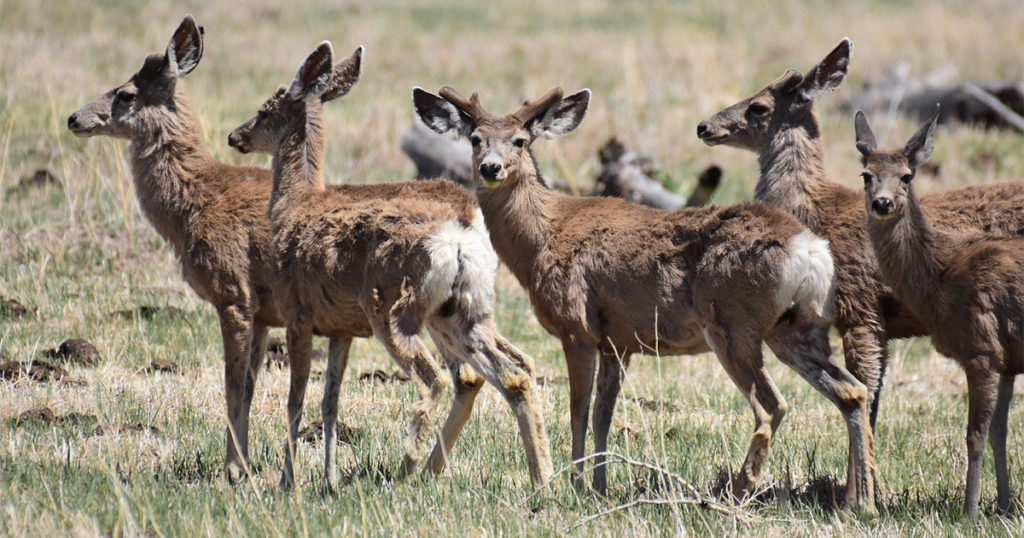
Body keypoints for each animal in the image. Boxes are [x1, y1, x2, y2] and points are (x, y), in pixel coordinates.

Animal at [227, 42, 552, 489]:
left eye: (264, 109)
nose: (235, 135)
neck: (293, 206)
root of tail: (459, 235)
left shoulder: (298, 312)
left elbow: (296, 400)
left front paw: (287, 483)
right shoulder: (340, 328)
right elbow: (330, 400)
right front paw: (328, 480)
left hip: (392, 307)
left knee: (435, 379)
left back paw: (408, 466)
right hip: (463, 309)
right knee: (511, 371)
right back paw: (542, 476)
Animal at [413, 85, 879, 514]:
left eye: (520, 141)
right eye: (475, 138)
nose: (491, 167)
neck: (542, 237)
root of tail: (810, 248)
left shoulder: (576, 328)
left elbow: (578, 410)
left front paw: (574, 485)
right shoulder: (618, 342)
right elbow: (603, 415)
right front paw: (598, 487)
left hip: (733, 324)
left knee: (771, 407)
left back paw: (736, 491)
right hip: (797, 327)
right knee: (852, 392)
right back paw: (860, 503)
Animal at [856, 107, 1023, 516]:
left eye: (907, 175)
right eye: (866, 174)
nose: (882, 203)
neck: (940, 274)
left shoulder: (981, 349)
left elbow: (975, 435)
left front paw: (969, 512)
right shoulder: (1007, 359)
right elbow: (1000, 433)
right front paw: (1004, 505)